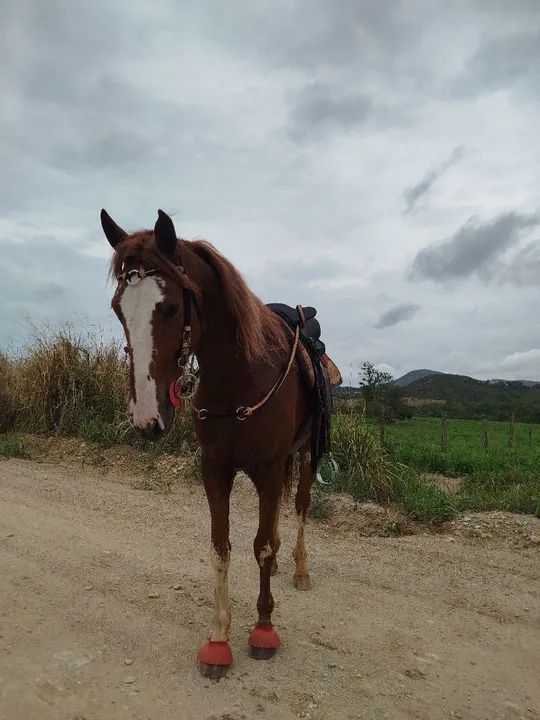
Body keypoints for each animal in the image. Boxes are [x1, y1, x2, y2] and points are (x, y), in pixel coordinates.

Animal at [101, 208, 334, 679]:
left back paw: (300, 569)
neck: (240, 375)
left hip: (305, 455)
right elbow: (221, 547)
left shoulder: (266, 468)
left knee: (300, 506)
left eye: (172, 307)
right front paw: (219, 638)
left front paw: (263, 630)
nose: (147, 418)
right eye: (119, 309)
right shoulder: (216, 470)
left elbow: (260, 547)